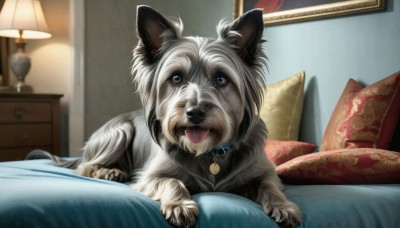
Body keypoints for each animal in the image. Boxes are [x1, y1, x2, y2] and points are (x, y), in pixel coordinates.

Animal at [28, 5, 304, 228]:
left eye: (221, 79)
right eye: (176, 78)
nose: (195, 112)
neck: (209, 153)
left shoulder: (265, 171)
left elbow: (270, 185)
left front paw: (283, 206)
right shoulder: (151, 175)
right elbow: (172, 182)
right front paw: (180, 205)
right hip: (119, 131)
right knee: (84, 166)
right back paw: (110, 172)